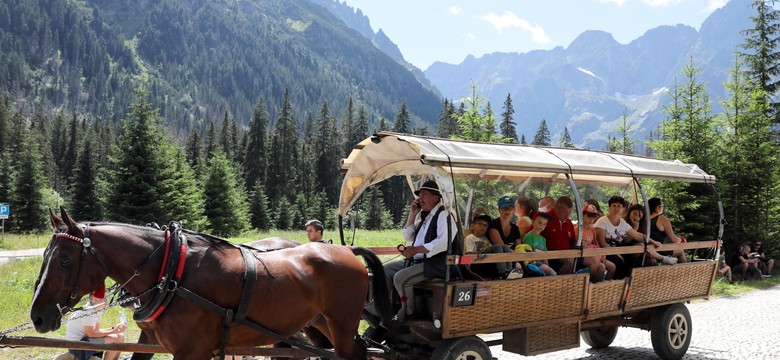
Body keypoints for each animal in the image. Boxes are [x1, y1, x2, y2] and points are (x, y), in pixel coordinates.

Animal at [32, 210, 390, 358]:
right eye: (45, 253)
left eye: (64, 259)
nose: (37, 316)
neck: (173, 273)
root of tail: (346, 250)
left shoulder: (194, 350)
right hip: (319, 324)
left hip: (340, 323)